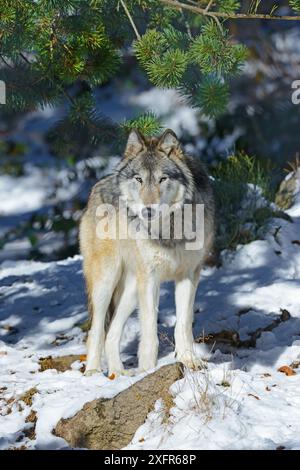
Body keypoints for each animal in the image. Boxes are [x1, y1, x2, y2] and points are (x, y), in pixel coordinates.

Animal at [79, 129, 216, 378]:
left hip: (132, 288)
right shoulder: (151, 279)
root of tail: (98, 186)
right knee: (96, 330)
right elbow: (150, 330)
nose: (148, 210)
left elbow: (183, 323)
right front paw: (148, 370)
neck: (168, 230)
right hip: (106, 282)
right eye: (139, 179)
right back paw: (93, 372)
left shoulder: (189, 275)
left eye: (163, 179)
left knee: (111, 334)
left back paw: (118, 374)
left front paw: (189, 360)